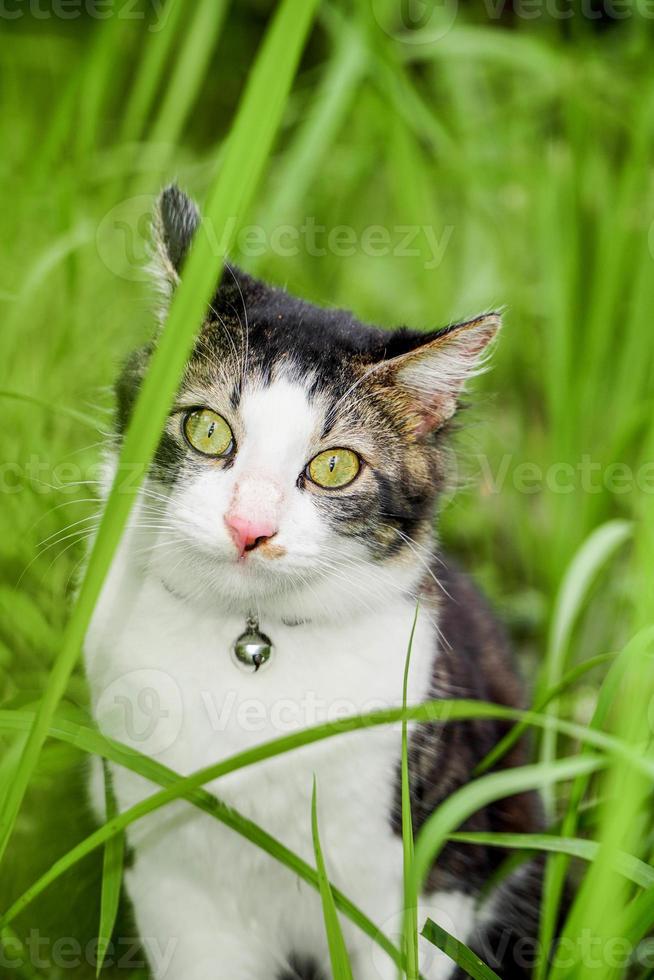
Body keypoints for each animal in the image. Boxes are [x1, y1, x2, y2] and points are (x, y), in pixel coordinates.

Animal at [86, 186, 548, 980]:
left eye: (335, 466)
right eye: (207, 430)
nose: (249, 527)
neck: (250, 651)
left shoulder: (430, 880)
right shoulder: (174, 886)